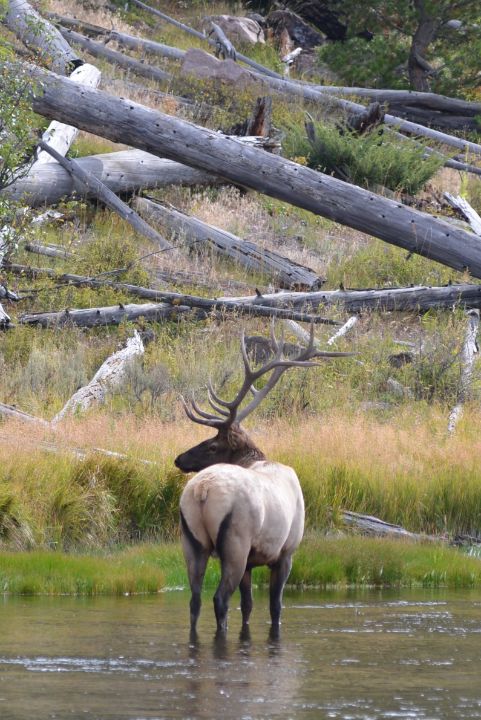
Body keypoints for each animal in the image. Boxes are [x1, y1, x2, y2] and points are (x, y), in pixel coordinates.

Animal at [174, 326, 350, 636]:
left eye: (212, 446)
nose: (179, 459)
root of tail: (202, 491)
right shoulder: (286, 552)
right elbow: (275, 606)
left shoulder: (251, 565)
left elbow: (248, 605)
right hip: (236, 542)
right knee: (219, 599)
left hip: (192, 540)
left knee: (195, 600)